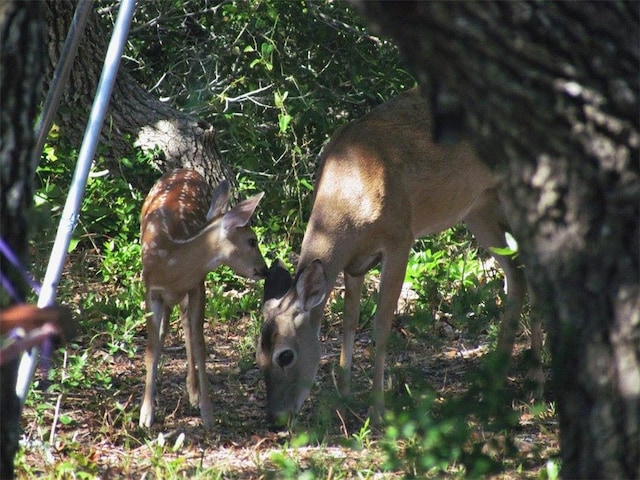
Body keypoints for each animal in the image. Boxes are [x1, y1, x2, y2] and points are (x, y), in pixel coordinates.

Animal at [140, 169, 268, 428]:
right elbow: (152, 347)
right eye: (252, 240)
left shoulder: (197, 285)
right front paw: (146, 414)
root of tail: (184, 170)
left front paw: (207, 413)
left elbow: (199, 344)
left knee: (187, 327)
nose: (265, 269)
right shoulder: (151, 290)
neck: (171, 263)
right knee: (168, 330)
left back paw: (193, 393)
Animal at [258, 88, 544, 426]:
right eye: (258, 355)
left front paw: (377, 409)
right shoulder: (355, 265)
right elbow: (349, 323)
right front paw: (344, 398)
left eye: (286, 355)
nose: (275, 418)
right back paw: (497, 380)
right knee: (517, 273)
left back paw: (537, 380)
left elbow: (381, 325)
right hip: (479, 207)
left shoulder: (399, 238)